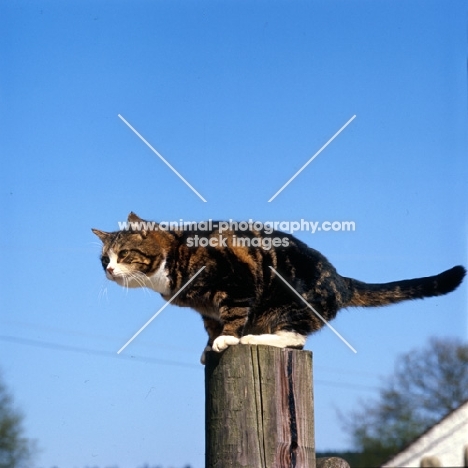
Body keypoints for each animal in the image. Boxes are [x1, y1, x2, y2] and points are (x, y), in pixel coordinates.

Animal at [93, 212, 466, 362]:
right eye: (103, 259)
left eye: (123, 255)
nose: (109, 269)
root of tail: (340, 281)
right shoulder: (206, 310)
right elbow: (211, 326)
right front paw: (210, 344)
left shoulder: (235, 281)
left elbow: (232, 315)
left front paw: (227, 339)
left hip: (288, 305)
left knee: (296, 339)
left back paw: (253, 338)